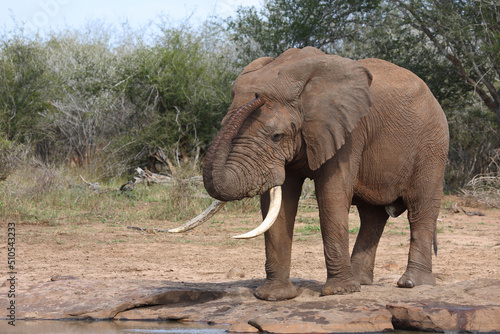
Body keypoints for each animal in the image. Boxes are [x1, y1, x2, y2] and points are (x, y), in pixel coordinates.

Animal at [171, 47, 450, 302]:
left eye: (276, 136)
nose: (257, 96)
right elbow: (279, 203)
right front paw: (274, 297)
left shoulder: (349, 132)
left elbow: (331, 195)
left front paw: (338, 293)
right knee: (372, 216)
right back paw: (361, 282)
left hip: (432, 145)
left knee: (421, 208)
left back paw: (412, 284)